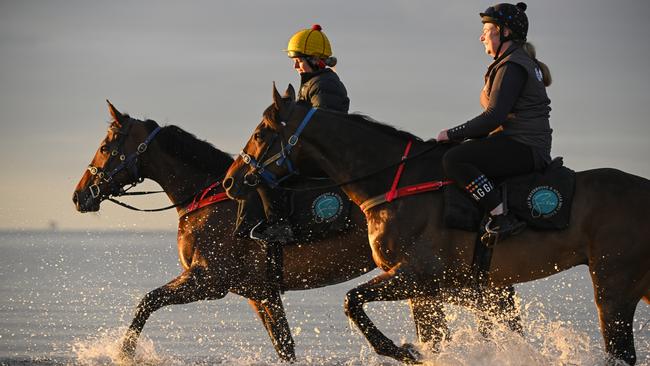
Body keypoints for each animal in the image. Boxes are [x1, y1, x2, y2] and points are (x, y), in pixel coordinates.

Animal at [72, 101, 516, 362]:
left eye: (107, 145)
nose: (79, 195)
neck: (210, 195)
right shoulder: (261, 293)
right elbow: (284, 346)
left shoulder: (208, 281)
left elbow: (147, 302)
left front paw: (124, 352)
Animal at [223, 83, 648, 366]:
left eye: (261, 133)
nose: (230, 181)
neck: (395, 182)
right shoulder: (427, 290)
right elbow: (434, 338)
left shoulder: (416, 274)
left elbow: (352, 301)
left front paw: (401, 350)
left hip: (613, 287)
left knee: (621, 351)